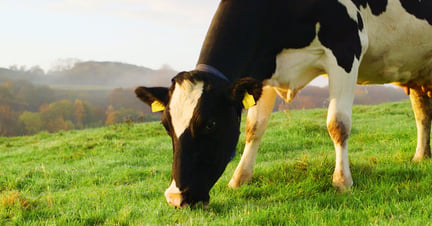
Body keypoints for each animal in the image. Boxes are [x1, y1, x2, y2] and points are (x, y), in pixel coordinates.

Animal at [135, 0, 432, 207]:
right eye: (166, 126)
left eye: (210, 123)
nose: (175, 197)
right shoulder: (263, 73)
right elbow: (254, 128)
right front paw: (240, 178)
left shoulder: (346, 48)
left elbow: (338, 124)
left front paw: (342, 181)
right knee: (422, 112)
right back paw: (421, 156)